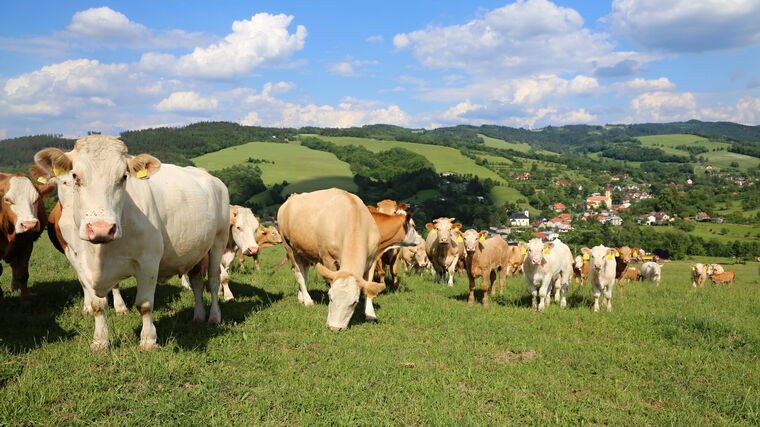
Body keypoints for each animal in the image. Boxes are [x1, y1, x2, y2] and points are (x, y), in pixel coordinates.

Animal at [0, 172, 54, 302]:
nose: (29, 224)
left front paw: (25, 299)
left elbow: (23, 273)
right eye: (7, 200)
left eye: (36, 199)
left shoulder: (26, 245)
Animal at [34, 135, 229, 352]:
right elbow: (97, 305)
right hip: (196, 249)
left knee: (214, 280)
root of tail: (209, 176)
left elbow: (144, 304)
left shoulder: (149, 260)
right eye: (75, 176)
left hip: (219, 240)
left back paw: (214, 316)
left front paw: (148, 340)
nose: (101, 228)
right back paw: (198, 316)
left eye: (123, 177)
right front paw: (100, 342)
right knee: (196, 282)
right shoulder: (80, 261)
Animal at [278, 187, 386, 332]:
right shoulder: (328, 258)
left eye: (355, 302)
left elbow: (368, 288)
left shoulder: (373, 259)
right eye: (330, 297)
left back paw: (301, 297)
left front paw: (370, 314)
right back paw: (308, 300)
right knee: (298, 273)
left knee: (304, 271)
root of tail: (292, 197)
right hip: (288, 246)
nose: (334, 328)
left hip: (302, 249)